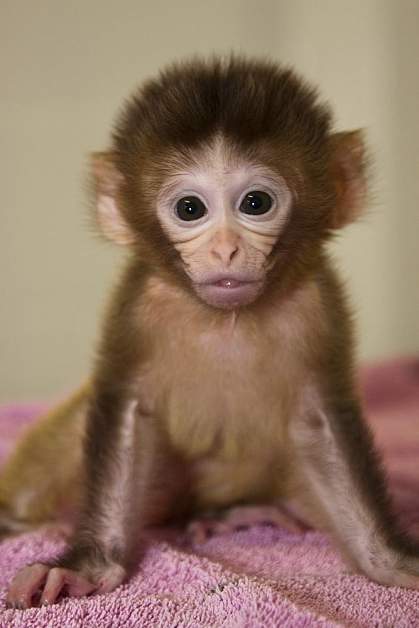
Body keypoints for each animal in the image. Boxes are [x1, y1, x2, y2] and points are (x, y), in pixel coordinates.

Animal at [2, 56, 419, 604]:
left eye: (256, 203)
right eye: (190, 209)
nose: (225, 249)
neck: (225, 319)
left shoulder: (318, 305)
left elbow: (321, 424)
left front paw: (391, 561)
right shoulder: (138, 305)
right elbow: (128, 412)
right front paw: (86, 567)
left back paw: (235, 514)